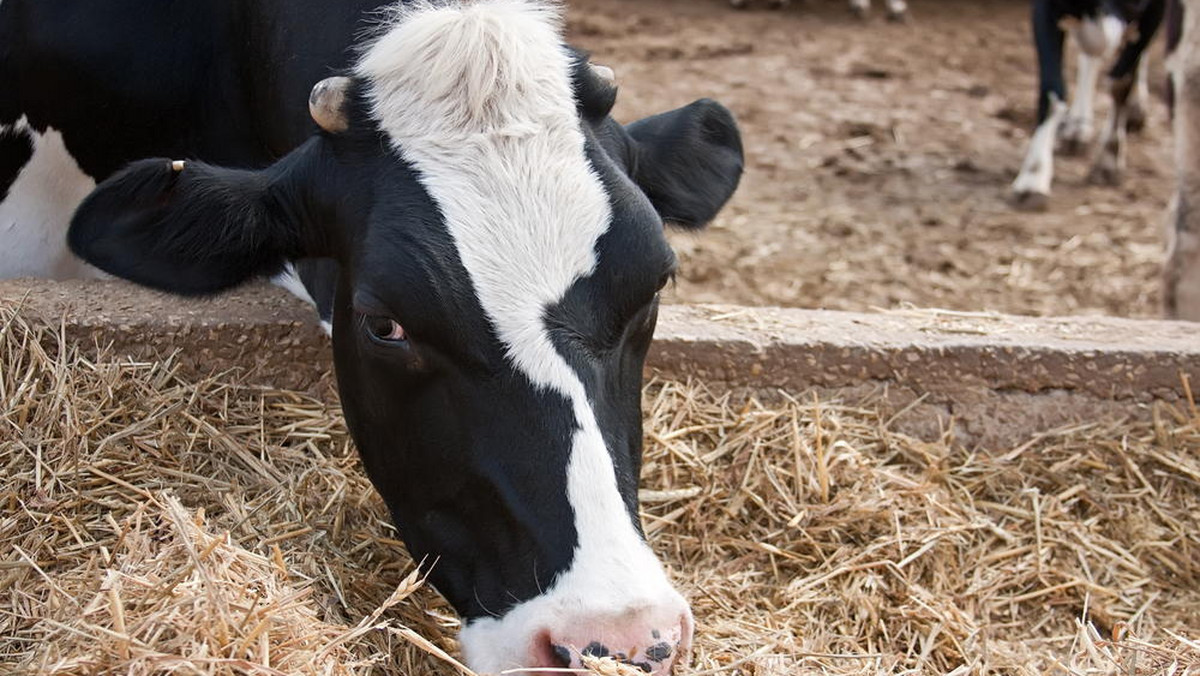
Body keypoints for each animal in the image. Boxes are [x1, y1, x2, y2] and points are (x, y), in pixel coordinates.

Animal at [1008, 0, 1166, 208]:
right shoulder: (1046, 8)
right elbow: (1052, 89)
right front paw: (1033, 177)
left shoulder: (1153, 12)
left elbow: (1120, 83)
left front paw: (1108, 159)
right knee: (1089, 56)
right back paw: (1077, 128)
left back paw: (1135, 106)